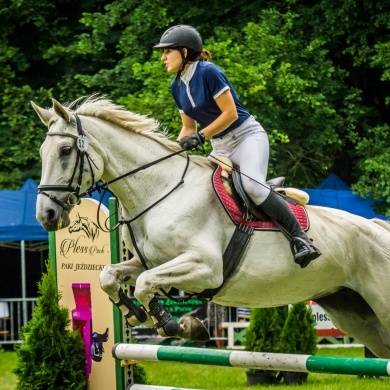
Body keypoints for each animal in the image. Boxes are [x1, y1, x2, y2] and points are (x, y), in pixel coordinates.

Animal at [33, 96, 390, 356]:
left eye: (65, 150)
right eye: (42, 152)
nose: (46, 215)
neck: (160, 189)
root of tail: (379, 228)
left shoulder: (206, 267)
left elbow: (147, 283)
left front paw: (171, 323)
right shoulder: (148, 261)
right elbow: (108, 276)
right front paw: (135, 313)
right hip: (355, 313)